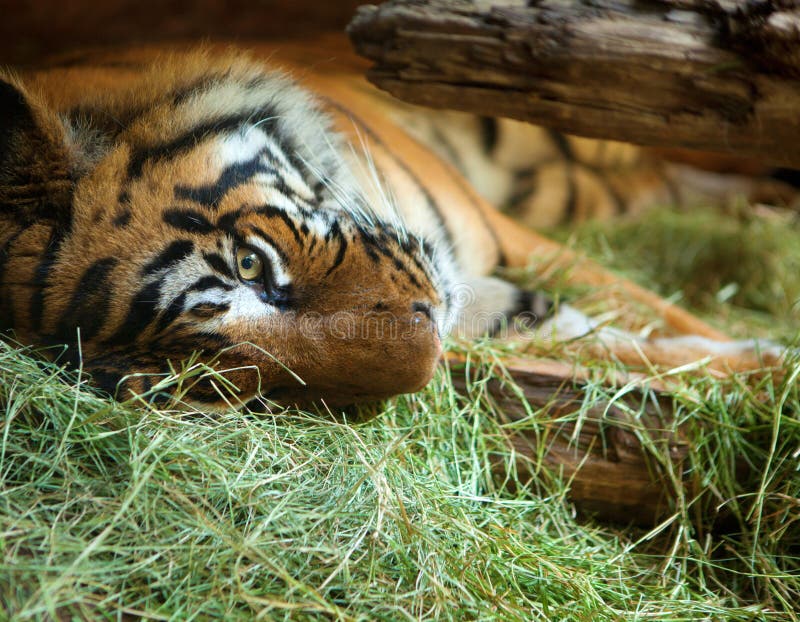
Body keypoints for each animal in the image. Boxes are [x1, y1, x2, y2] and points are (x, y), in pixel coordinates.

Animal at [0, 37, 788, 410]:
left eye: (252, 265)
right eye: (225, 378)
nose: (428, 347)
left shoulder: (516, 240)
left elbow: (650, 305)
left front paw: (776, 362)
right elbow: (615, 344)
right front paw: (763, 364)